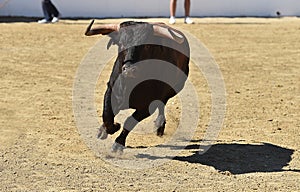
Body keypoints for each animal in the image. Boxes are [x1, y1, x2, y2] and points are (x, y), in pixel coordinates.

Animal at [84, 19, 190, 152]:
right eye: (121, 44)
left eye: (147, 46)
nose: (130, 70)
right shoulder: (111, 90)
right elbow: (107, 114)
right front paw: (106, 129)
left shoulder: (147, 107)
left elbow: (129, 122)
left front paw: (118, 144)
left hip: (175, 88)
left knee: (163, 103)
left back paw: (160, 126)